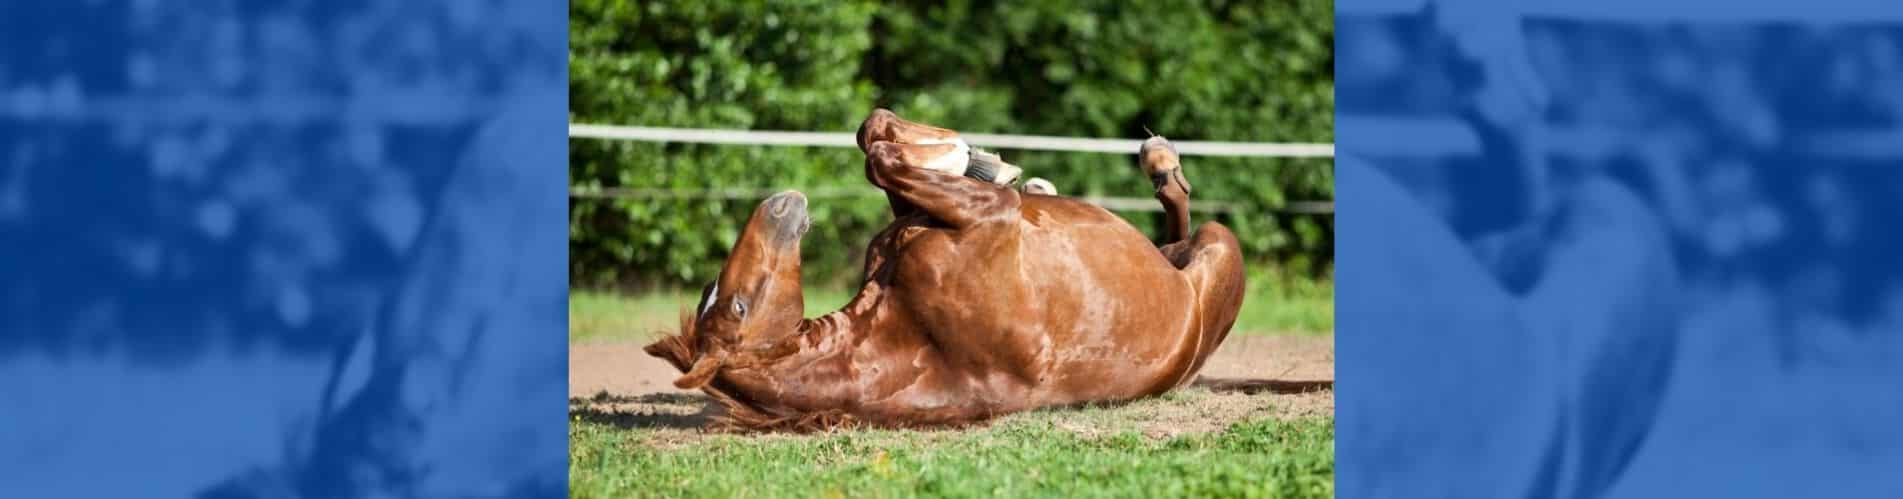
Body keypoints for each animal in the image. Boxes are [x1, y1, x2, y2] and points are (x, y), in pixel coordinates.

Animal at [645, 109, 1247, 430]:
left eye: (719, 295)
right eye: (737, 305)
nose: (779, 205)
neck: (906, 333)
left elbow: (875, 139)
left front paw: (974, 158)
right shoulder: (990, 216)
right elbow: (881, 158)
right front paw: (973, 159)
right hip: (1219, 246)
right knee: (1186, 226)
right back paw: (1160, 162)